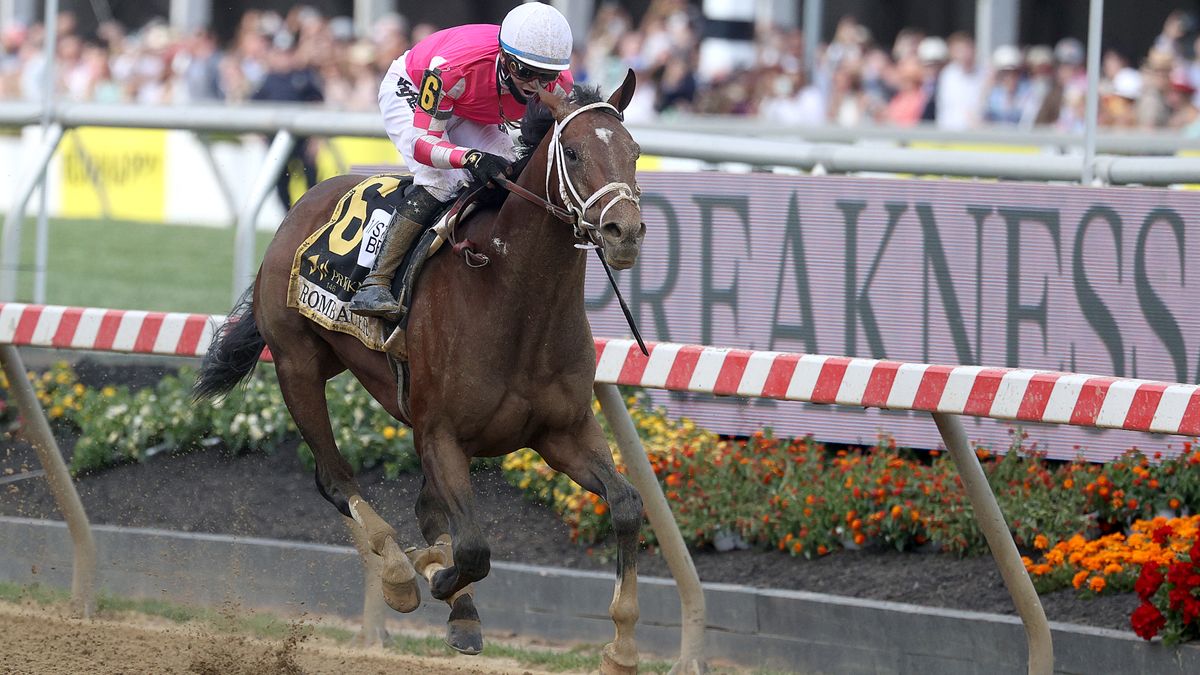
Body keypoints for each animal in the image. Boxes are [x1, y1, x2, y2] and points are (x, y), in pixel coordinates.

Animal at [196, 74, 648, 667]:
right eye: (571, 152)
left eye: (634, 152)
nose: (624, 231)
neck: (515, 300)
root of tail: (302, 204)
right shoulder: (441, 434)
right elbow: (473, 548)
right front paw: (431, 573)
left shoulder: (563, 432)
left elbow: (627, 504)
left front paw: (622, 645)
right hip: (297, 366)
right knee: (335, 478)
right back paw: (396, 573)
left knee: (419, 505)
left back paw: (456, 605)